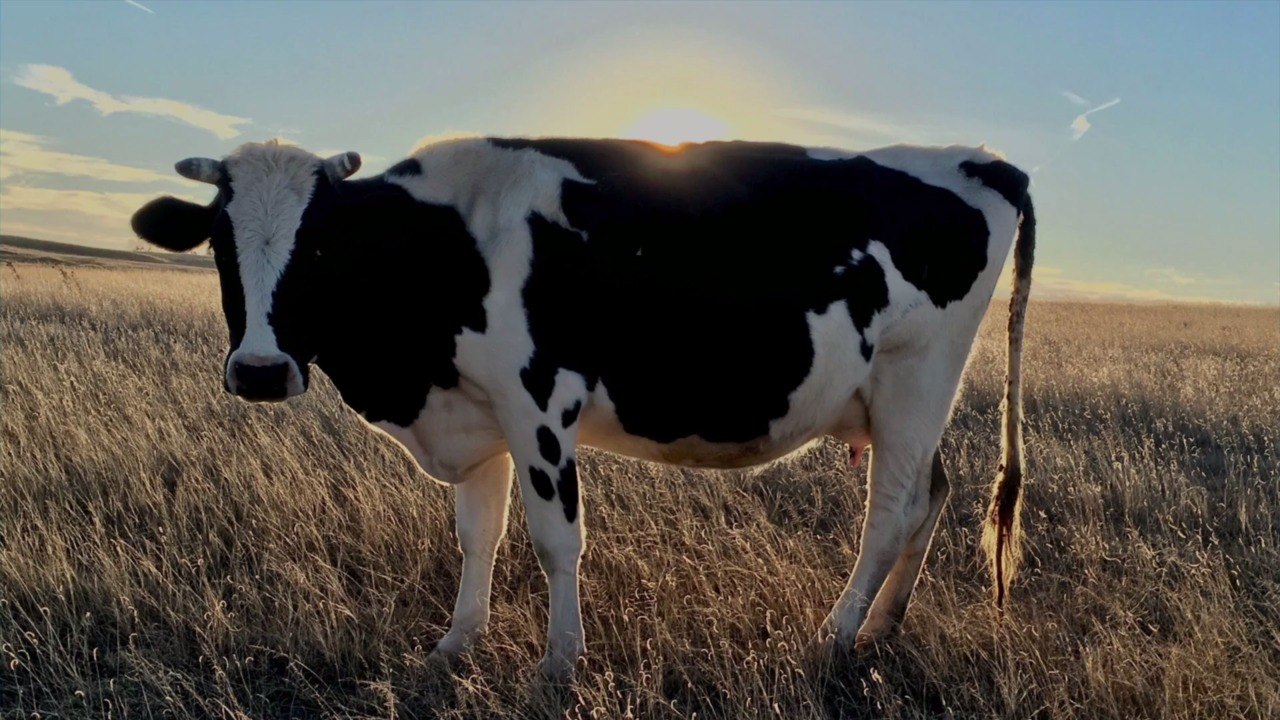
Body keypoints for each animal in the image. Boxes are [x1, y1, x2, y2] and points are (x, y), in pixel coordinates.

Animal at [131, 137, 1034, 681]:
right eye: (218, 242)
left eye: (320, 243)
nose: (259, 370)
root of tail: (982, 161)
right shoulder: (481, 413)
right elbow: (478, 535)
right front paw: (454, 644)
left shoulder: (538, 401)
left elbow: (555, 539)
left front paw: (559, 661)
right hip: (902, 401)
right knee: (931, 495)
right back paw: (881, 629)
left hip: (918, 378)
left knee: (889, 513)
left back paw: (835, 635)